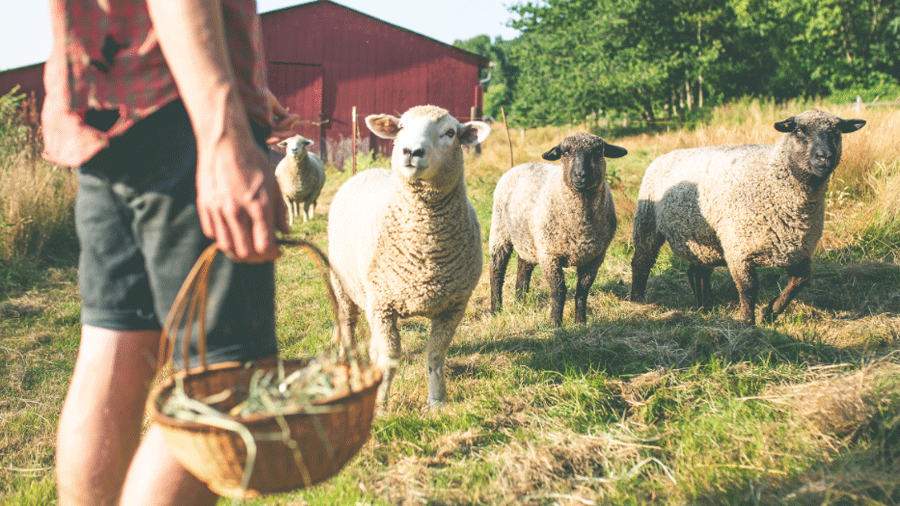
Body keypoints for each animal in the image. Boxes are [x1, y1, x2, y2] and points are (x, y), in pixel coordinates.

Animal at [327, 105, 491, 407]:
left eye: (450, 133)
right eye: (401, 127)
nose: (411, 151)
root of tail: (368, 170)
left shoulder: (454, 306)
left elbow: (435, 356)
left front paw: (437, 401)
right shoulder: (382, 305)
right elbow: (390, 357)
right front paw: (381, 402)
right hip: (343, 285)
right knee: (348, 324)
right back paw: (348, 365)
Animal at [489, 132, 628, 327]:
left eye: (598, 152)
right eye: (565, 152)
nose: (580, 175)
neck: (581, 226)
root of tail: (520, 165)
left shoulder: (595, 257)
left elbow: (582, 291)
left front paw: (580, 322)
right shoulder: (549, 255)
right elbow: (558, 290)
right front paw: (555, 323)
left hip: (529, 240)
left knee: (523, 266)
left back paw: (520, 301)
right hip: (500, 231)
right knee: (496, 270)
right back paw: (496, 309)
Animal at [629, 110, 866, 325]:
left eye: (837, 132)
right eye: (799, 130)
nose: (825, 157)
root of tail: (664, 155)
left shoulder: (797, 251)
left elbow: (800, 281)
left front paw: (770, 311)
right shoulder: (739, 249)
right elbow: (748, 288)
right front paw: (747, 322)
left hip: (702, 238)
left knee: (698, 271)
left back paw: (705, 305)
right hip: (648, 224)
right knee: (641, 262)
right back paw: (638, 300)